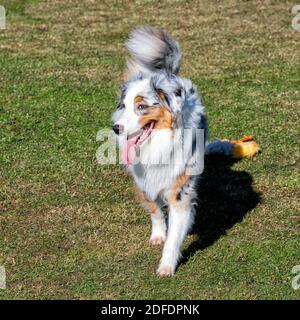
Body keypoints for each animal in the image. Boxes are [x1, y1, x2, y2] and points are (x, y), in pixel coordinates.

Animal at [111, 25, 258, 276]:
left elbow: (174, 235)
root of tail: (167, 74)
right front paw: (158, 234)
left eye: (141, 106)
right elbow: (155, 210)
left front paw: (166, 266)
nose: (115, 128)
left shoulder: (180, 190)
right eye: (124, 106)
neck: (159, 145)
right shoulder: (144, 180)